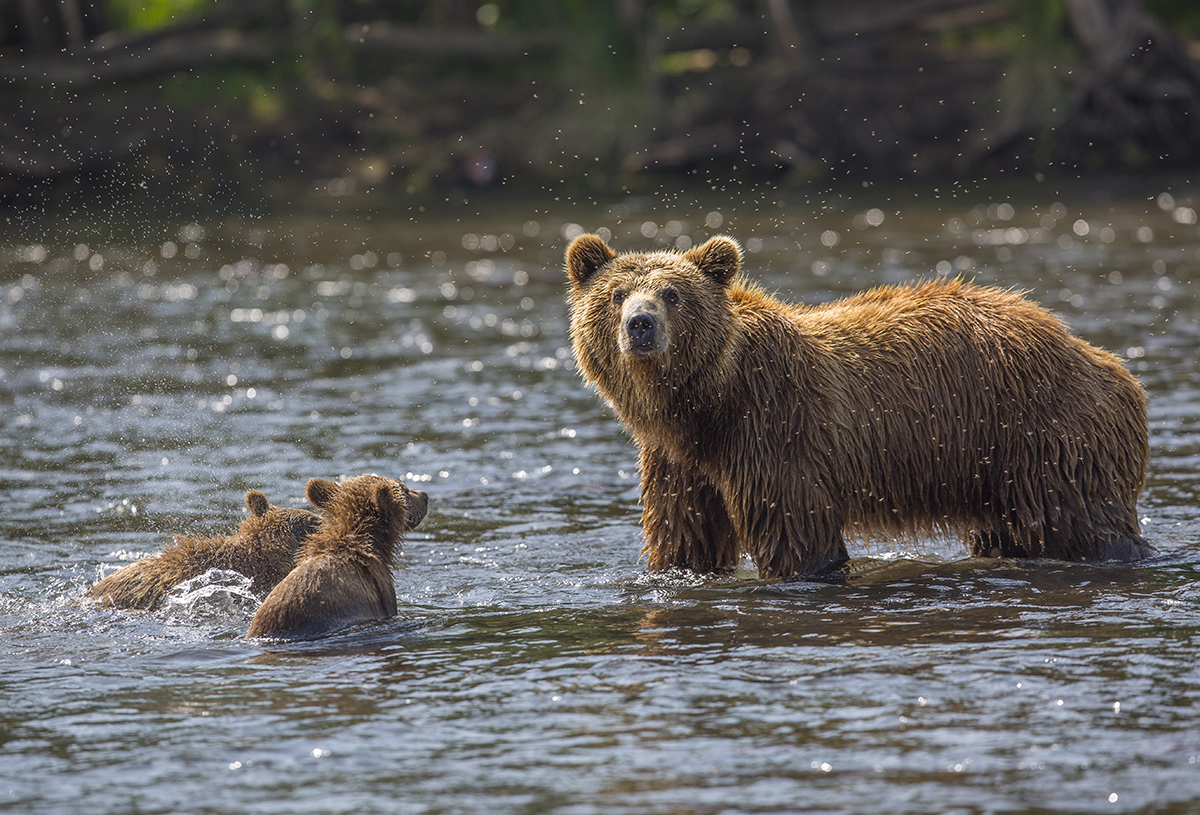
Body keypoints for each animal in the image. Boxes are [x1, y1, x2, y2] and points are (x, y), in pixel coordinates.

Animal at [566, 231, 1156, 580]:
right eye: (615, 295)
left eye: (672, 294)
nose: (641, 325)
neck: (705, 403)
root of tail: (1107, 361)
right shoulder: (678, 460)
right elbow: (683, 535)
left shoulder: (776, 428)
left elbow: (795, 532)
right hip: (998, 467)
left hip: (1048, 436)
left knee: (1087, 524)